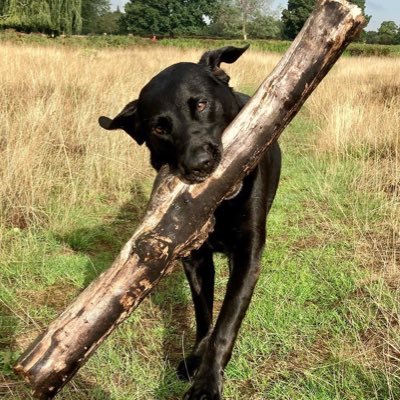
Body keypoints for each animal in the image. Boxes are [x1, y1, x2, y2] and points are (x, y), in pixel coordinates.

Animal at [99, 45, 282, 398]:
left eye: (200, 104)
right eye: (159, 128)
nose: (199, 165)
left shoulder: (248, 256)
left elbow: (226, 324)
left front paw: (207, 382)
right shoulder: (195, 259)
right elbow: (203, 314)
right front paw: (196, 359)